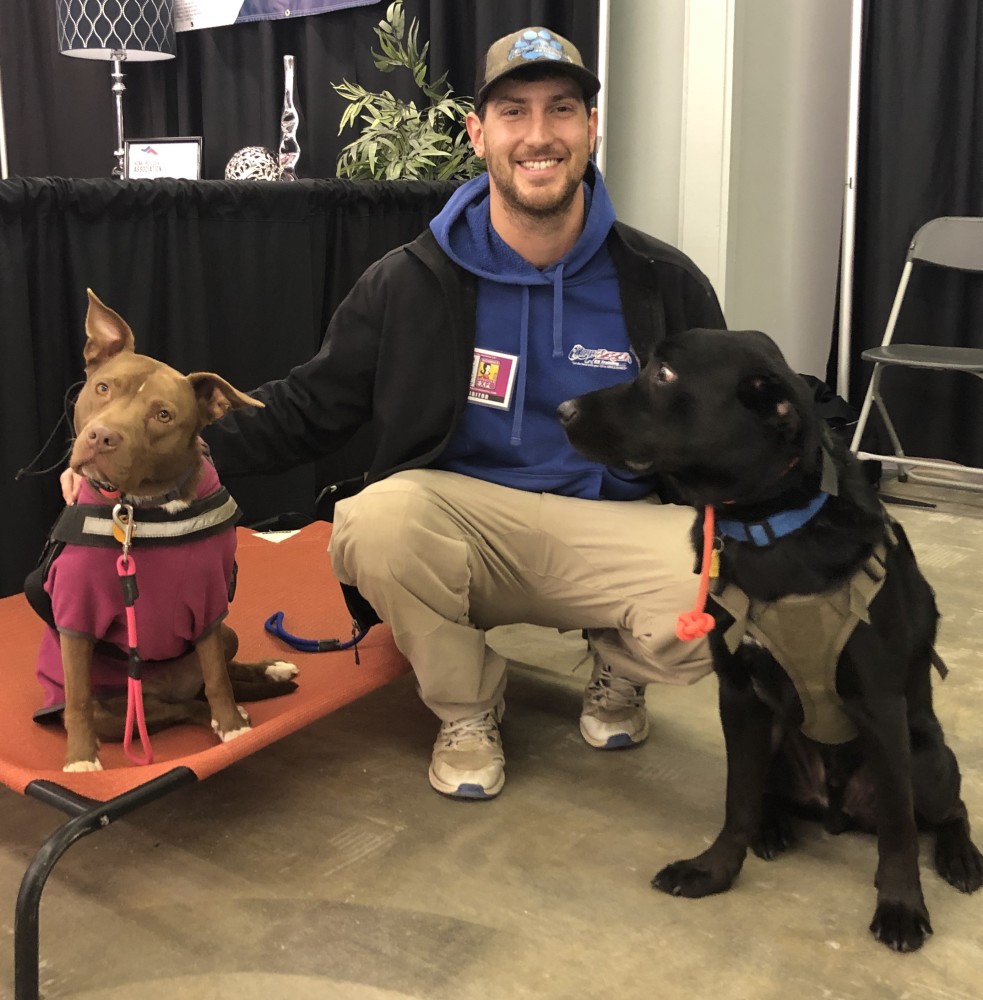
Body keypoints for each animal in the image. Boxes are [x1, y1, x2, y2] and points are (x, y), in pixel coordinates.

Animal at [34, 292, 298, 772]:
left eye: (162, 415)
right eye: (103, 388)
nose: (101, 437)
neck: (144, 510)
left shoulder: (209, 602)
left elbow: (217, 677)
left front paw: (231, 725)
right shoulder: (76, 616)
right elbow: (78, 696)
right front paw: (81, 760)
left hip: (226, 633)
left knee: (214, 679)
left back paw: (268, 674)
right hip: (120, 710)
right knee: (182, 708)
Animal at [556, 330, 980, 952]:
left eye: (664, 374)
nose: (561, 410)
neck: (767, 527)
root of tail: (837, 810)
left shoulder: (881, 707)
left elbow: (899, 831)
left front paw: (902, 907)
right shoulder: (739, 697)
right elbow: (737, 799)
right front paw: (714, 870)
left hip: (927, 757)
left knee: (947, 809)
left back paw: (961, 857)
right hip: (782, 742)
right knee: (766, 794)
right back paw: (772, 827)